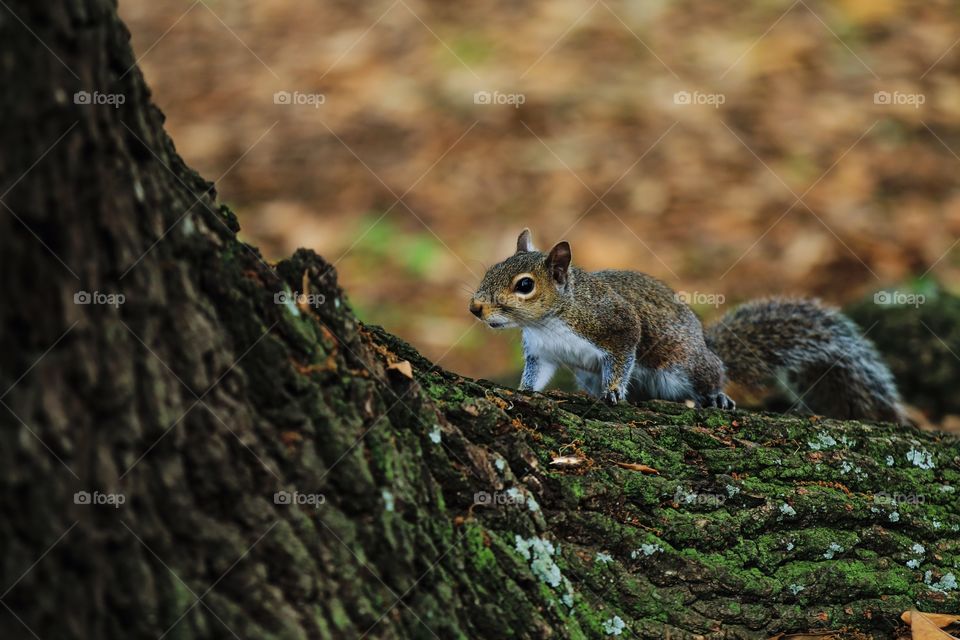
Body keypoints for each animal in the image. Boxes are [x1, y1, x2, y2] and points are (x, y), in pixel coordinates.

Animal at [468, 230, 904, 424]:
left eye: (525, 285)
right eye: (491, 269)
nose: (475, 308)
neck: (549, 321)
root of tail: (706, 344)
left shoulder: (615, 323)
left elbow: (624, 351)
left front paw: (614, 391)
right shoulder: (541, 352)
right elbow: (537, 376)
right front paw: (524, 391)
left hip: (684, 363)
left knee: (712, 375)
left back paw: (717, 397)